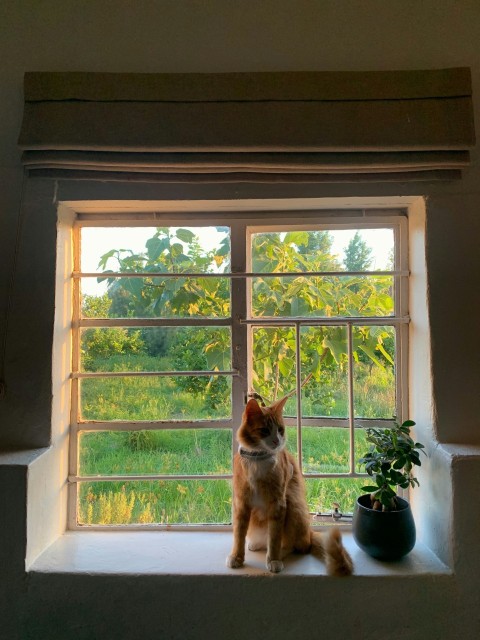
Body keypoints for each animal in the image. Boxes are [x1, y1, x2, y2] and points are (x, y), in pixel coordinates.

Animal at [225, 396, 352, 576]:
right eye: (265, 430)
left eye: (280, 430)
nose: (277, 441)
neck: (258, 459)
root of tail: (309, 532)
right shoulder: (242, 503)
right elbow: (239, 534)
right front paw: (236, 557)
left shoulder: (278, 503)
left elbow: (274, 538)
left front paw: (273, 559)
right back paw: (257, 544)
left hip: (292, 503)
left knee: (299, 546)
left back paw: (280, 554)